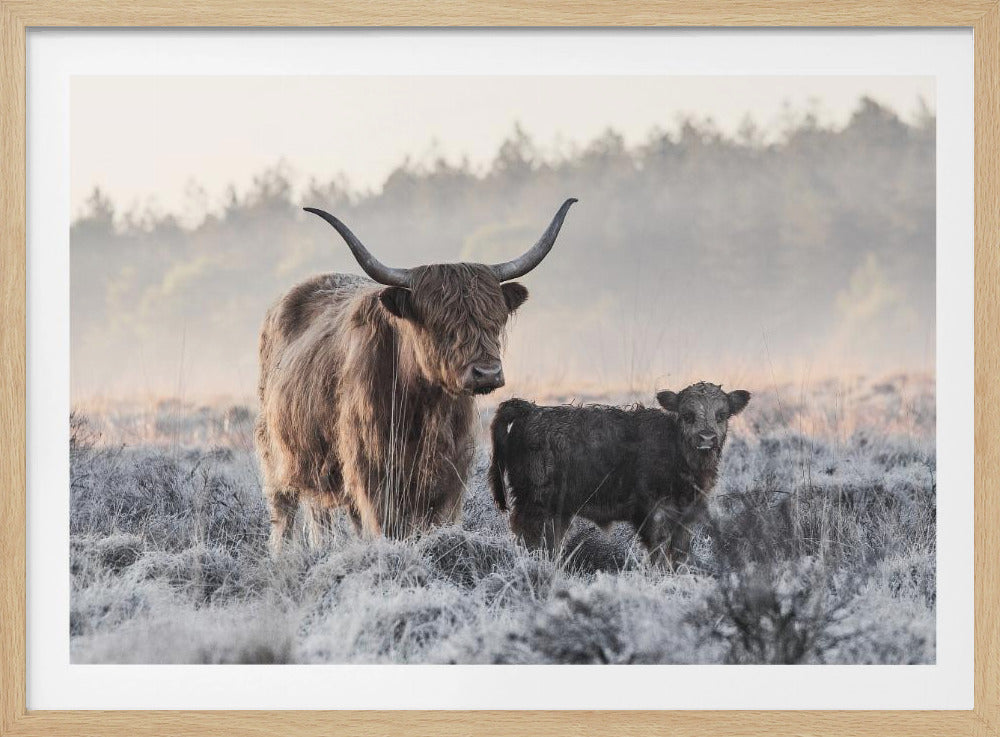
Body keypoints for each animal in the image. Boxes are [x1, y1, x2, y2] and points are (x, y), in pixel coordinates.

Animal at [255, 199, 577, 552]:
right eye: (441, 325)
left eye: (494, 320)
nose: (487, 373)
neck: (425, 406)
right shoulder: (373, 474)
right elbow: (387, 527)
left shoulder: (450, 477)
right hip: (276, 454)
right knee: (284, 513)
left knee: (322, 514)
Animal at [488, 382, 750, 569]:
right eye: (687, 415)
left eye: (721, 415)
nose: (707, 438)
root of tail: (530, 410)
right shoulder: (654, 512)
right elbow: (659, 551)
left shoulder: (684, 515)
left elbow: (679, 554)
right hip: (534, 503)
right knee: (529, 539)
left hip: (557, 511)